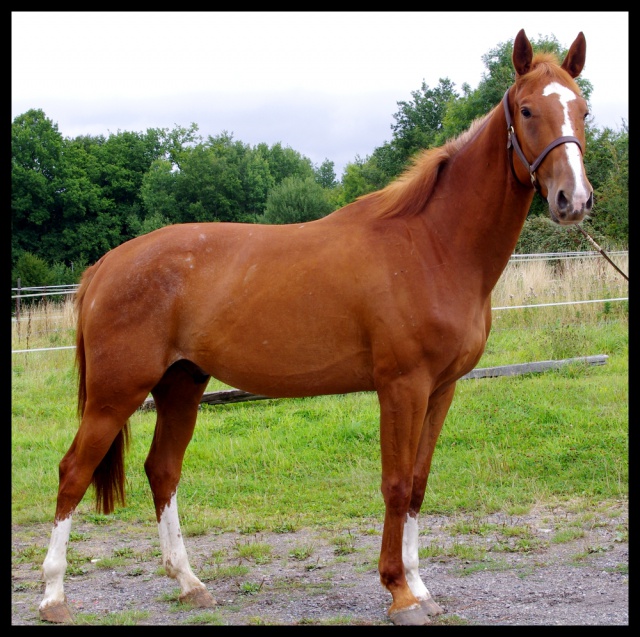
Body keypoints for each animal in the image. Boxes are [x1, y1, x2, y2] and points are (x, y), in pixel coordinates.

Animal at [38, 28, 592, 620]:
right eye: (528, 110)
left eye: (583, 109)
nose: (573, 199)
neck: (432, 246)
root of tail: (105, 266)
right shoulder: (402, 387)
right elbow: (396, 484)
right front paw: (399, 591)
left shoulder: (440, 390)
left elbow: (419, 484)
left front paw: (420, 588)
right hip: (115, 393)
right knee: (72, 472)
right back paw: (53, 596)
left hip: (180, 385)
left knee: (162, 470)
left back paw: (189, 583)